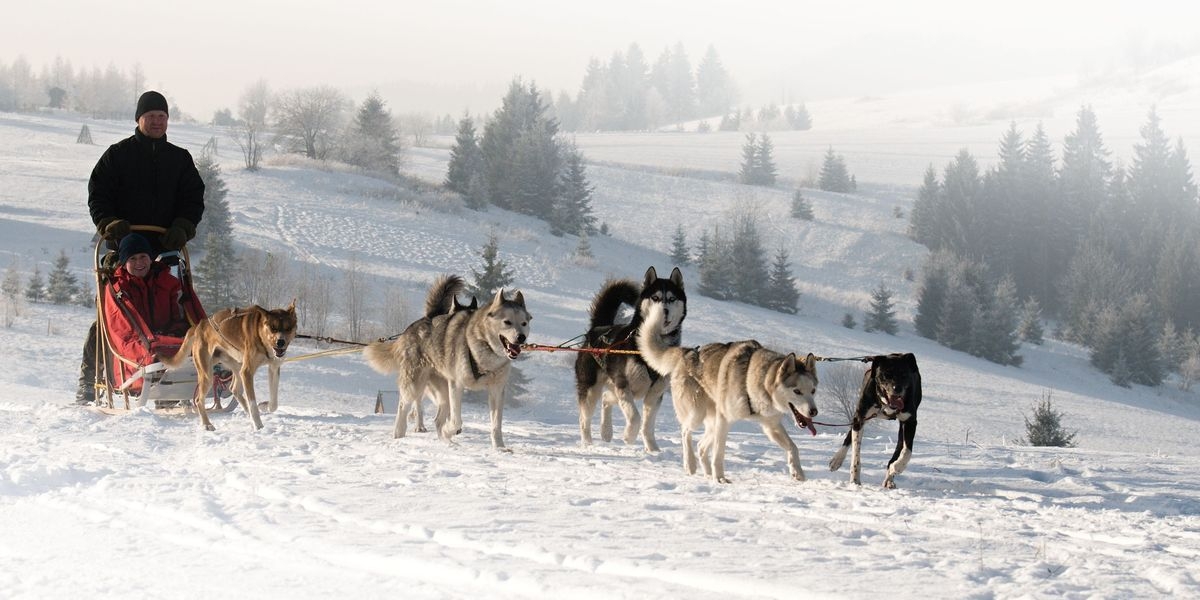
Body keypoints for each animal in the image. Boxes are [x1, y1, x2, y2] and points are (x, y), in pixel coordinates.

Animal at [164, 302, 297, 429]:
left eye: (288, 328)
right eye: (273, 328)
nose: (280, 342)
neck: (262, 338)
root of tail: (199, 325)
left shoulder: (274, 368)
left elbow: (274, 403)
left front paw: (264, 406)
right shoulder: (247, 372)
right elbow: (253, 404)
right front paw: (258, 426)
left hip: (237, 367)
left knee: (234, 389)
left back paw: (247, 413)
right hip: (208, 375)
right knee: (198, 400)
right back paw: (207, 424)